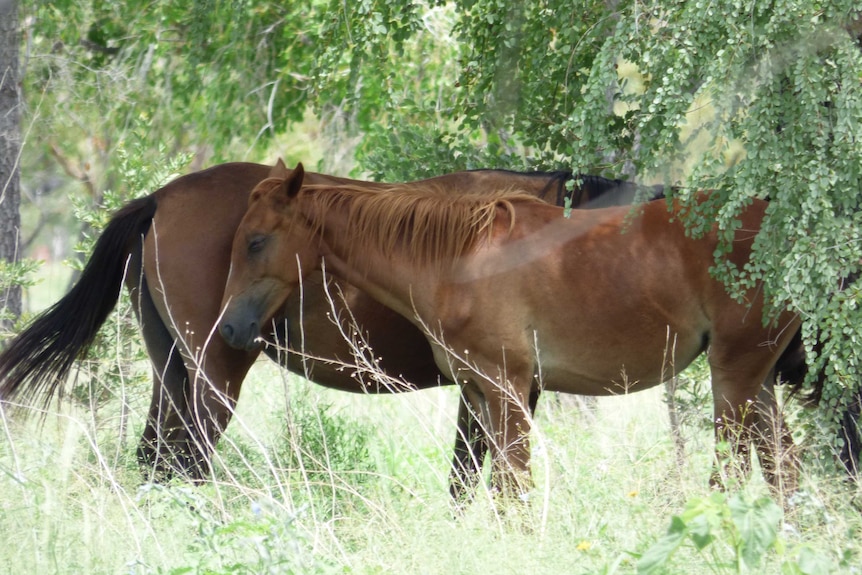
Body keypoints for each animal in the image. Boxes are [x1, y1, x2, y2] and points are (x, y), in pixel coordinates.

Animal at [0, 160, 656, 498]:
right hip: (214, 375)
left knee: (157, 458)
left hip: (173, 371)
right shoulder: (503, 387)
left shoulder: (488, 389)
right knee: (188, 460)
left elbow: (465, 479)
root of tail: (160, 197)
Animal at [221, 162, 804, 500]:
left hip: (734, 377)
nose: (229, 329)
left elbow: (513, 488)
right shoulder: (480, 394)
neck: (458, 261)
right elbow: (497, 490)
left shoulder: (509, 390)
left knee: (734, 471)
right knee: (783, 469)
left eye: (255, 241)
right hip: (757, 381)